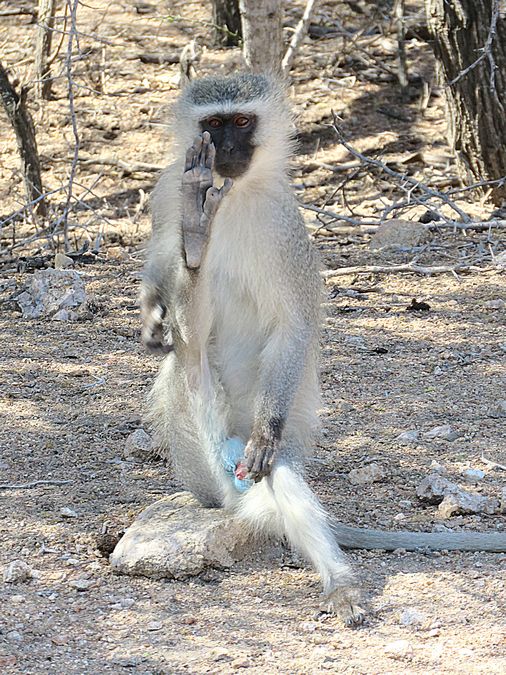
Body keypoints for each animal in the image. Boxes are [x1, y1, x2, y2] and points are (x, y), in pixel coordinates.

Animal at [141, 73, 506, 626]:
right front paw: (180, 250)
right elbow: (171, 287)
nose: (224, 151)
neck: (234, 195)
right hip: (199, 466)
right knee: (189, 355)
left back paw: (340, 584)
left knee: (277, 470)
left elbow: (294, 327)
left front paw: (267, 430)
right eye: (214, 123)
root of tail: (230, 499)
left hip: (258, 464)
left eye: (241, 122)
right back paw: (197, 234)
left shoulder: (286, 228)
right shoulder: (164, 195)